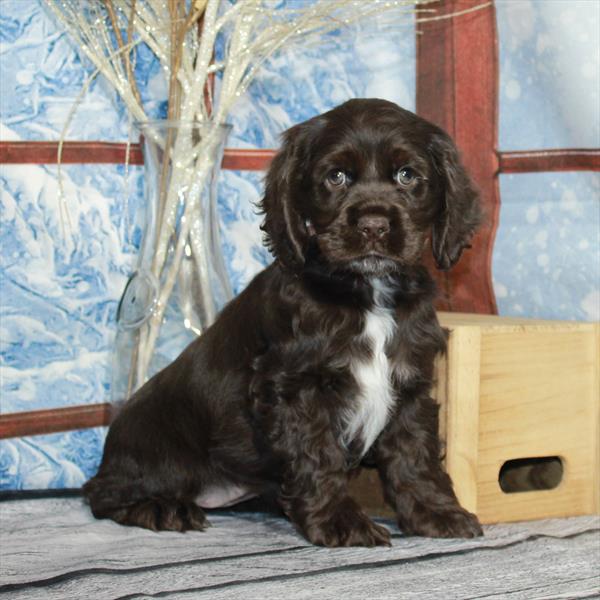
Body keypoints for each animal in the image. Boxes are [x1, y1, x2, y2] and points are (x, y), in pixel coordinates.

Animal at [84, 97, 482, 544]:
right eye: (336, 177)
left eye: (407, 175)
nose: (373, 225)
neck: (367, 291)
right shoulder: (295, 386)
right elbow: (319, 456)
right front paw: (342, 522)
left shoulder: (410, 384)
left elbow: (415, 454)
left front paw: (436, 513)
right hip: (161, 453)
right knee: (103, 493)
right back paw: (163, 509)